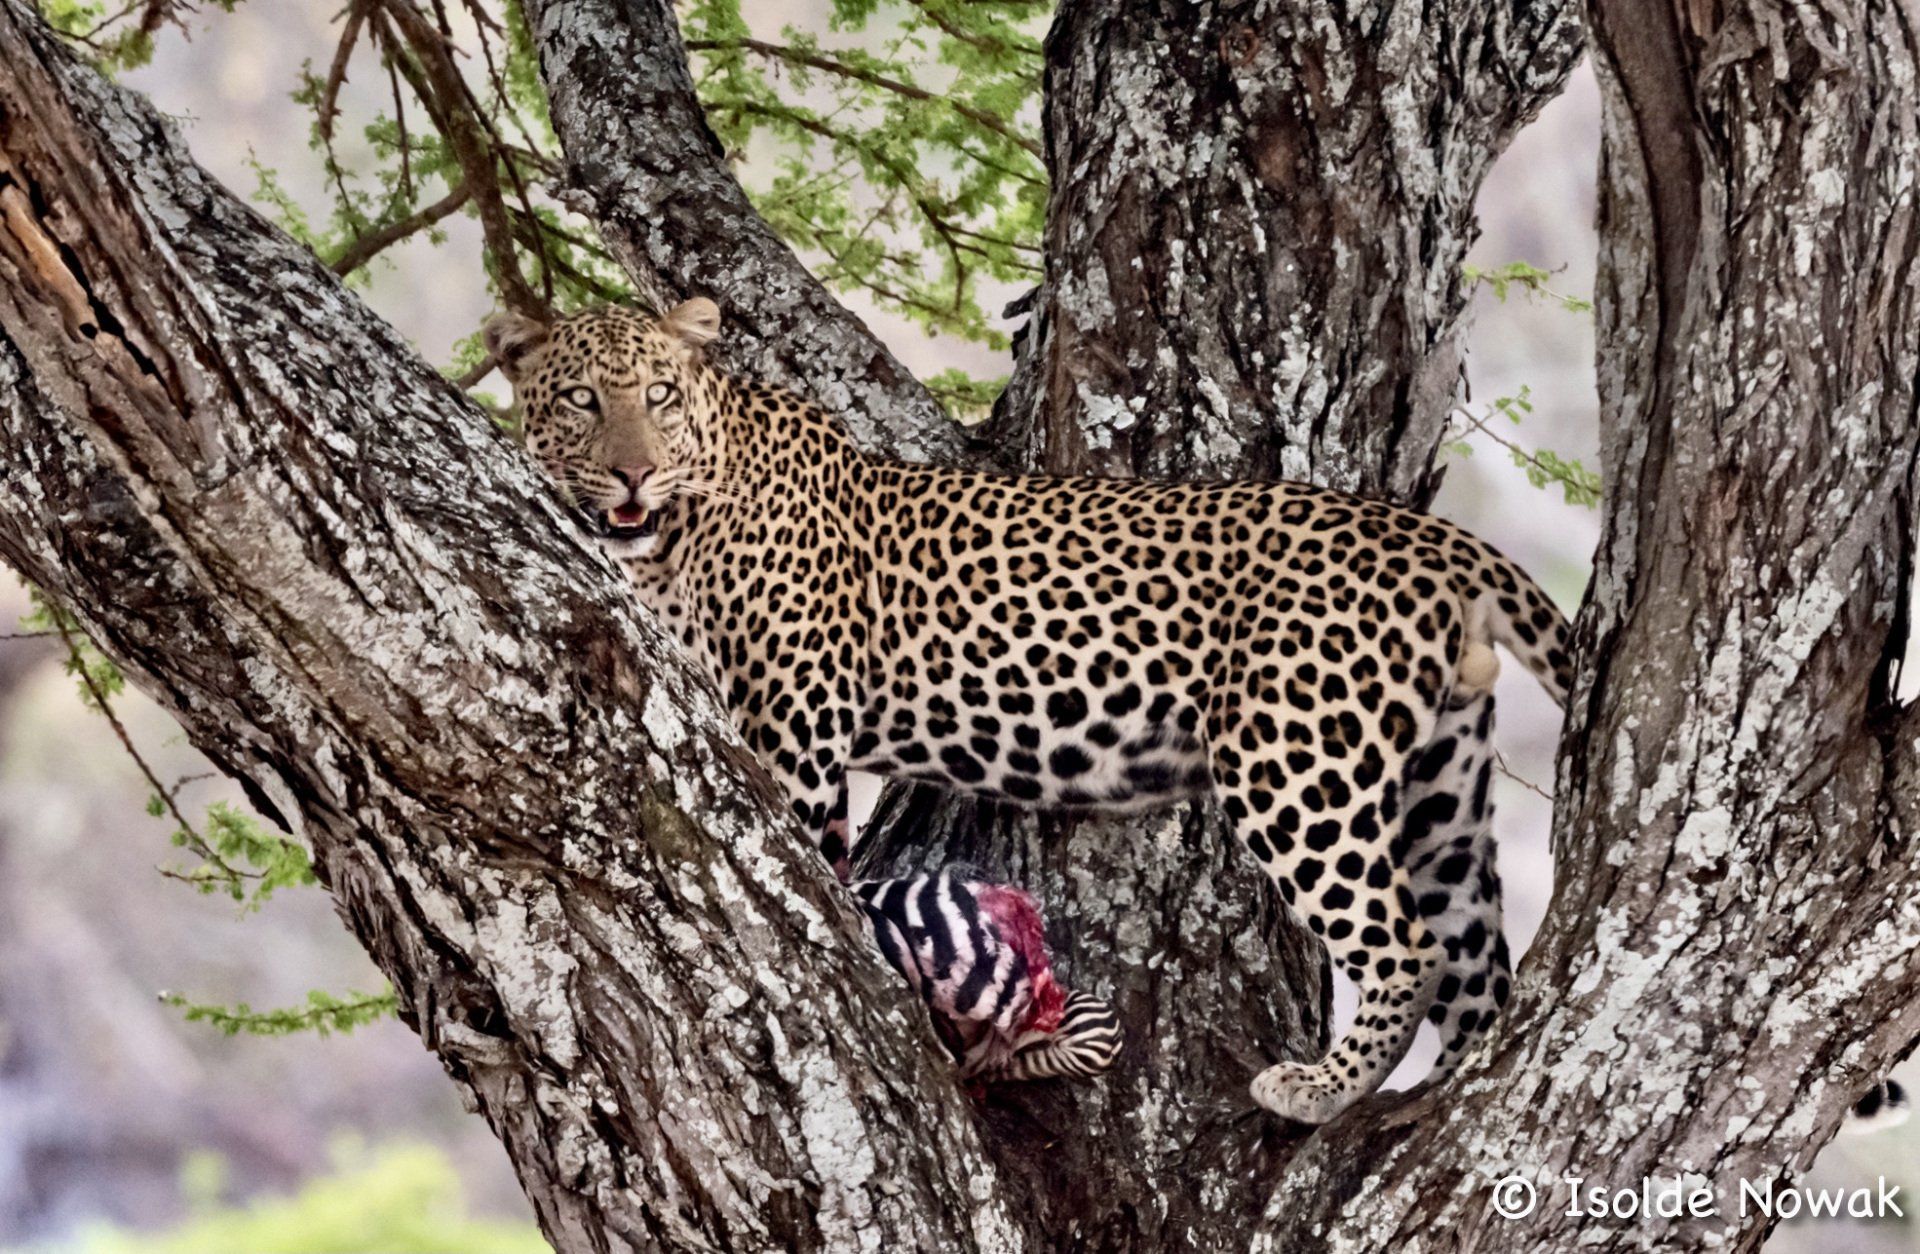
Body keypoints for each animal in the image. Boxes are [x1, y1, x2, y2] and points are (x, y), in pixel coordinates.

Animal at [484, 298, 1574, 1124]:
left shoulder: (793, 730)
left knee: (1402, 940)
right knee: (1474, 960)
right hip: (1440, 787)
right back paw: (1449, 1091)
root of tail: (1436, 539)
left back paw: (1320, 1089)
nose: (631, 471)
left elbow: (795, 863)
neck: (671, 534)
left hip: (1296, 760)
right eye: (583, 400)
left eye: (659, 397)